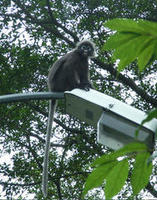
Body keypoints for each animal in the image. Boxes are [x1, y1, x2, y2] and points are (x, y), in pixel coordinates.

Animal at [42, 39, 95, 197]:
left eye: (88, 47)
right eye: (83, 46)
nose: (85, 49)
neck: (81, 56)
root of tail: (52, 89)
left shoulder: (85, 61)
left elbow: (85, 73)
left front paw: (87, 83)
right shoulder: (75, 57)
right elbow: (70, 67)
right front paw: (81, 84)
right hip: (60, 82)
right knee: (68, 68)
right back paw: (76, 86)